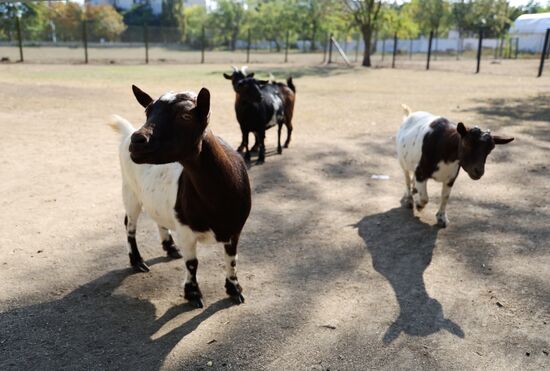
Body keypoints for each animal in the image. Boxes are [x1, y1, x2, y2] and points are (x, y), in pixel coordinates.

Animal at [110, 85, 252, 308]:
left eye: (185, 116)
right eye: (147, 112)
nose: (137, 141)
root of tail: (126, 132)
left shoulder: (235, 228)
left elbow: (232, 259)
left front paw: (234, 289)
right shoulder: (186, 229)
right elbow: (192, 263)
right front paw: (193, 293)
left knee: (158, 217)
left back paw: (170, 247)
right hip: (129, 190)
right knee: (129, 224)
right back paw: (137, 261)